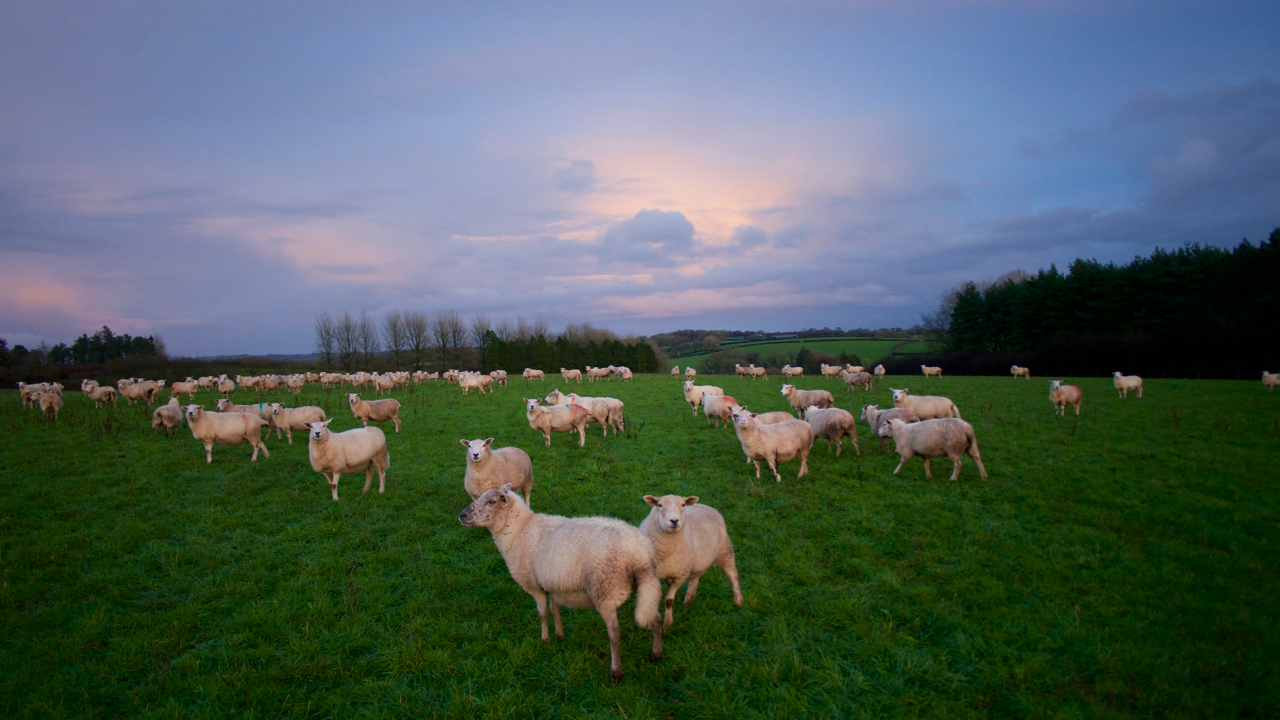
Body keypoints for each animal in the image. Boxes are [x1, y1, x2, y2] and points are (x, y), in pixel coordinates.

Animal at [458, 485, 663, 683]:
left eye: (492, 502)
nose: (462, 515)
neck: (519, 531)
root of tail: (641, 554)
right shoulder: (553, 587)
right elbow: (554, 609)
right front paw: (560, 636)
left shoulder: (534, 587)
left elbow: (542, 613)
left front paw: (545, 639)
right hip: (645, 585)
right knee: (656, 618)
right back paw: (656, 654)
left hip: (605, 592)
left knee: (614, 634)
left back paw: (616, 673)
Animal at [639, 494, 743, 628]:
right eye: (660, 505)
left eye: (683, 505)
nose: (674, 520)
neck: (664, 551)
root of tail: (705, 505)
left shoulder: (679, 577)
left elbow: (669, 601)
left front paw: (667, 623)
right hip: (697, 563)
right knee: (695, 578)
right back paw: (688, 601)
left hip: (725, 552)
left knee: (733, 575)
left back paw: (738, 601)